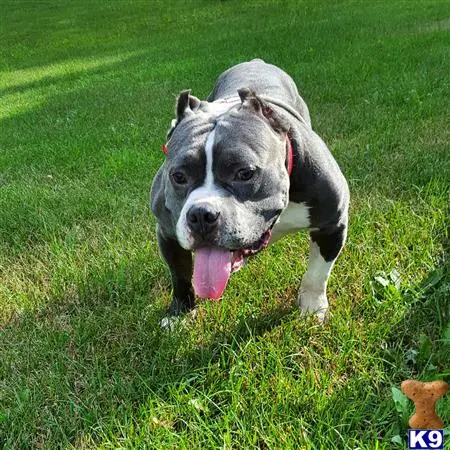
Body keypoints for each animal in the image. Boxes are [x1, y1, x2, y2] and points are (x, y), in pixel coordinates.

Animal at [149, 59, 350, 324]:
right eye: (178, 176)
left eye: (245, 173)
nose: (201, 215)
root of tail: (256, 61)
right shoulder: (167, 233)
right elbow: (180, 276)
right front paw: (179, 313)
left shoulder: (332, 224)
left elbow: (317, 274)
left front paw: (311, 308)